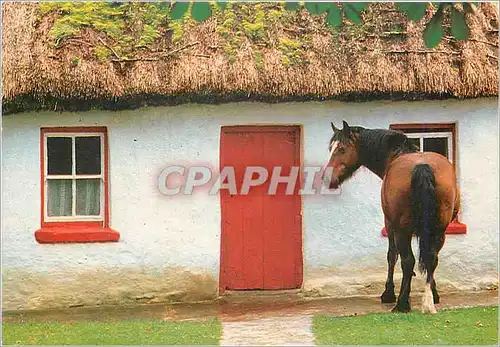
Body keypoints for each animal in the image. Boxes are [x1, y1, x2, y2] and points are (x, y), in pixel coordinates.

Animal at [322, 121, 458, 314]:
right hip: (439, 229)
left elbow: (392, 255)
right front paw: (434, 292)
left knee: (408, 261)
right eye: (330, 148)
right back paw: (428, 301)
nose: (327, 178)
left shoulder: (390, 225)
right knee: (432, 258)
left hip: (402, 230)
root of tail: (422, 167)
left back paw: (402, 303)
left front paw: (389, 293)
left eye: (341, 148)